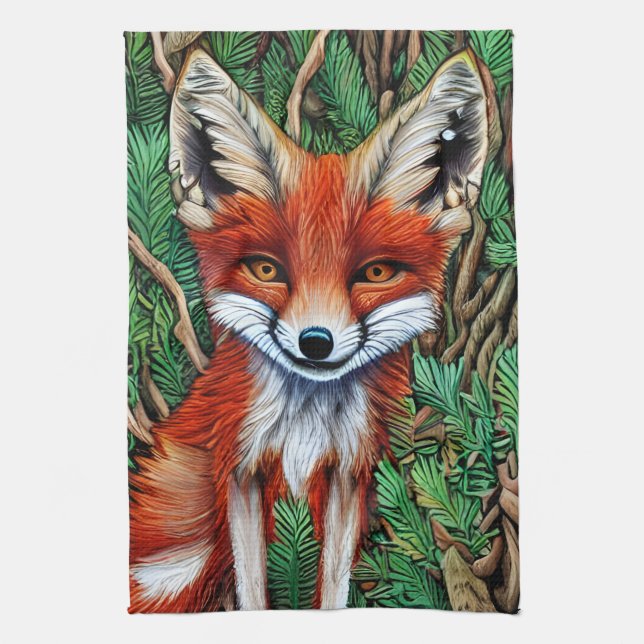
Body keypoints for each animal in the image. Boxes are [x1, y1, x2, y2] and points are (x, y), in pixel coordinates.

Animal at [129, 44, 495, 612]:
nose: (316, 343)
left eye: (375, 273)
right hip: (179, 555)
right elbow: (253, 590)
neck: (304, 425)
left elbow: (334, 588)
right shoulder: (238, 471)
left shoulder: (349, 476)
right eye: (266, 270)